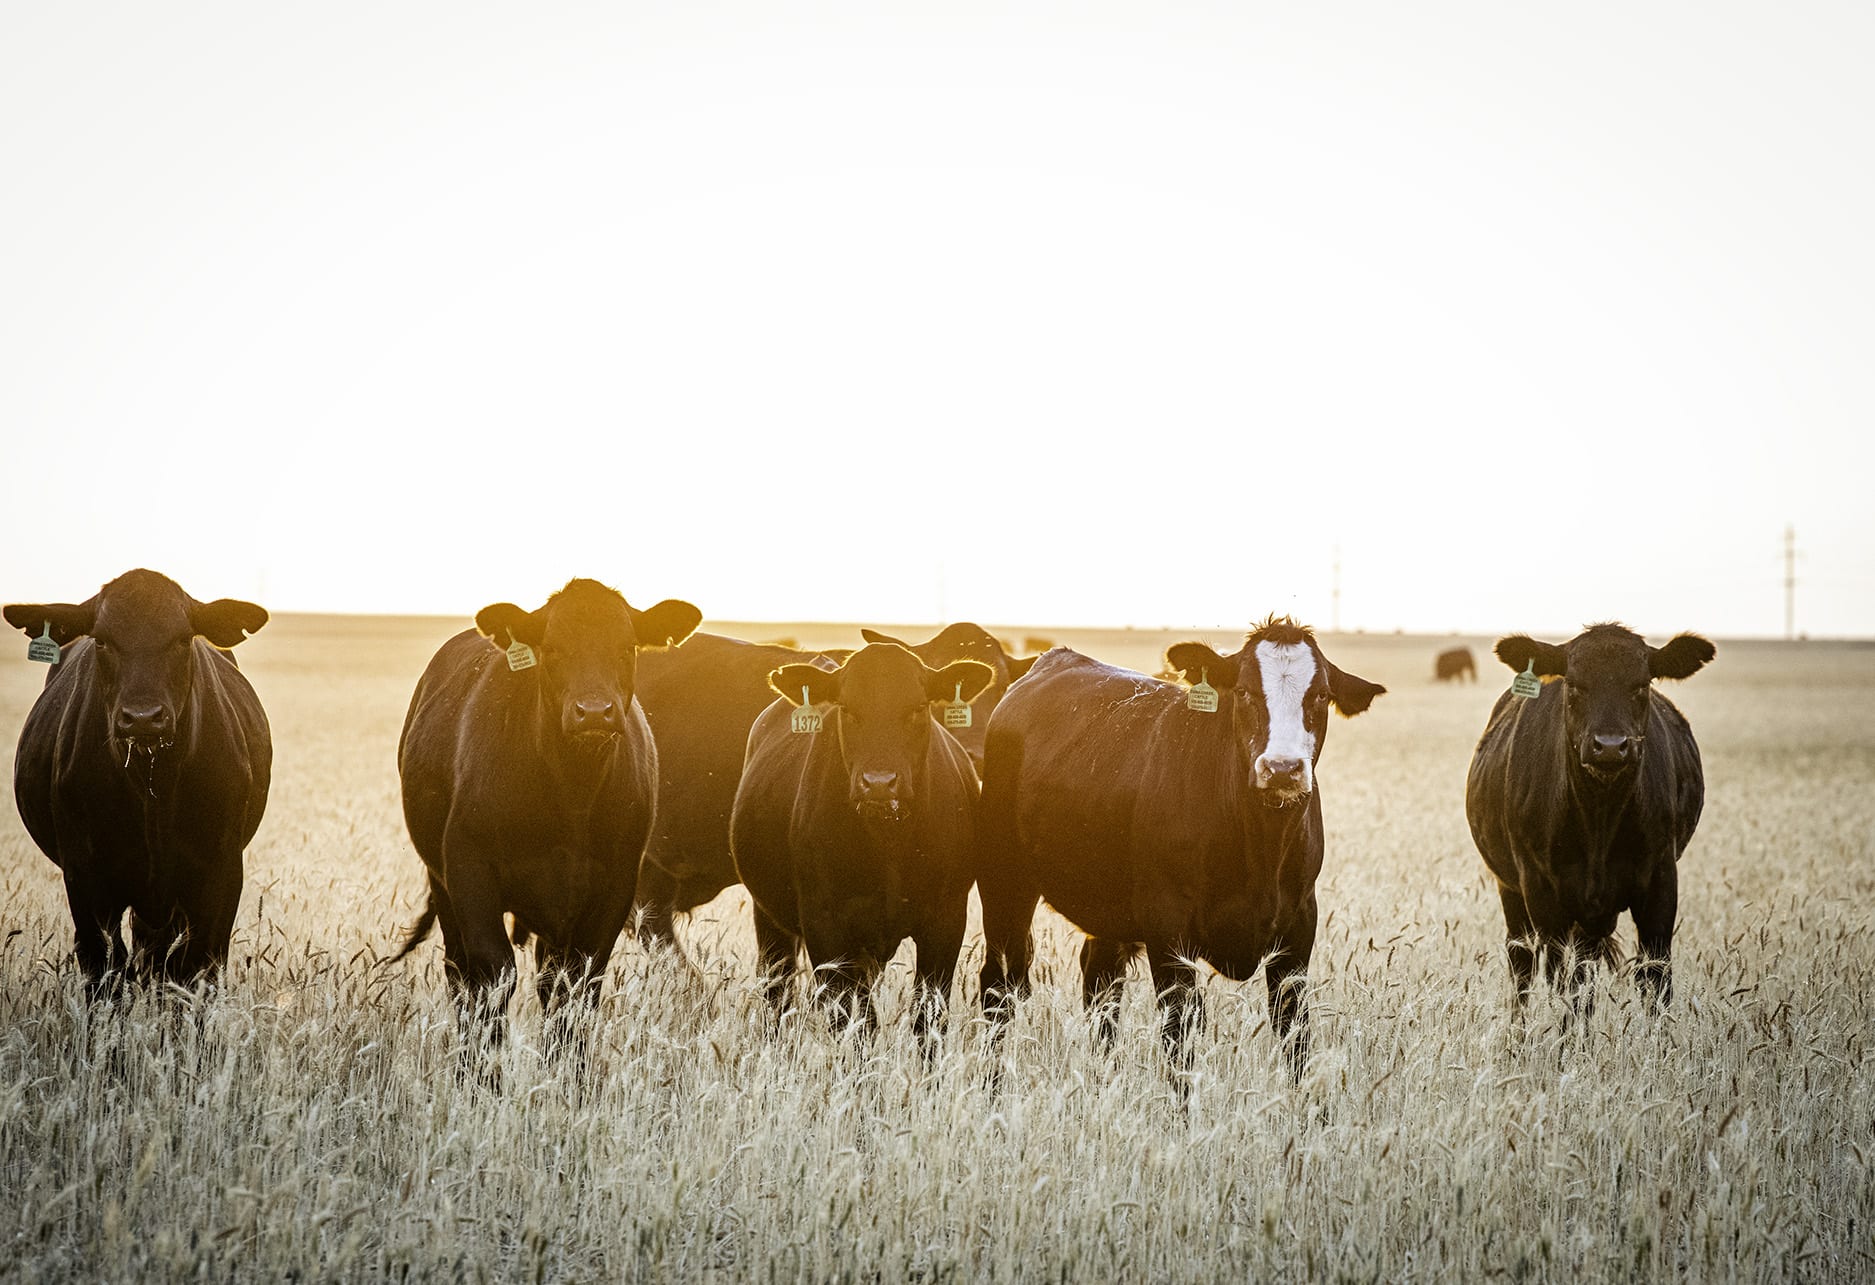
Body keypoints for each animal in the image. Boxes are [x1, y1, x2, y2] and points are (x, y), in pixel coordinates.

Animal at [5, 570, 271, 982]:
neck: (153, 785)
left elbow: (197, 968)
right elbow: (105, 967)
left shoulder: (221, 872)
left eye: (182, 638)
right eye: (102, 640)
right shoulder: (85, 877)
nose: (143, 717)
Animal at [391, 577, 701, 1050]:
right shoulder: (468, 869)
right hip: (441, 883)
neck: (571, 792)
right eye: (552, 647)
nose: (594, 712)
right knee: (459, 973)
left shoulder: (614, 887)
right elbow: (491, 975)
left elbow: (577, 987)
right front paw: (486, 1067)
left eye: (626, 647)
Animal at [731, 641, 997, 1043]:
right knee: (779, 989)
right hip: (771, 919)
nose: (879, 783)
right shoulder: (826, 926)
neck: (888, 843)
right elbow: (850, 1021)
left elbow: (927, 1018)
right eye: (847, 708)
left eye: (918, 707)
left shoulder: (947, 919)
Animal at [975, 615, 1387, 1073]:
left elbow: (1294, 1032)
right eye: (1243, 691)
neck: (1259, 845)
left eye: (1320, 695)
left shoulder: (1298, 929)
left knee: (1101, 984)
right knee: (1000, 984)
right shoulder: (1168, 932)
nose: (1282, 768)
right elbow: (1180, 1033)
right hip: (1004, 883)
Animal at [1462, 622, 1717, 1005]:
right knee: (1522, 964)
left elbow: (1655, 978)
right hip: (1512, 891)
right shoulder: (1542, 892)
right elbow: (1563, 982)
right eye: (1575, 685)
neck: (1599, 816)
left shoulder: (1660, 881)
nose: (1609, 746)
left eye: (1641, 685)